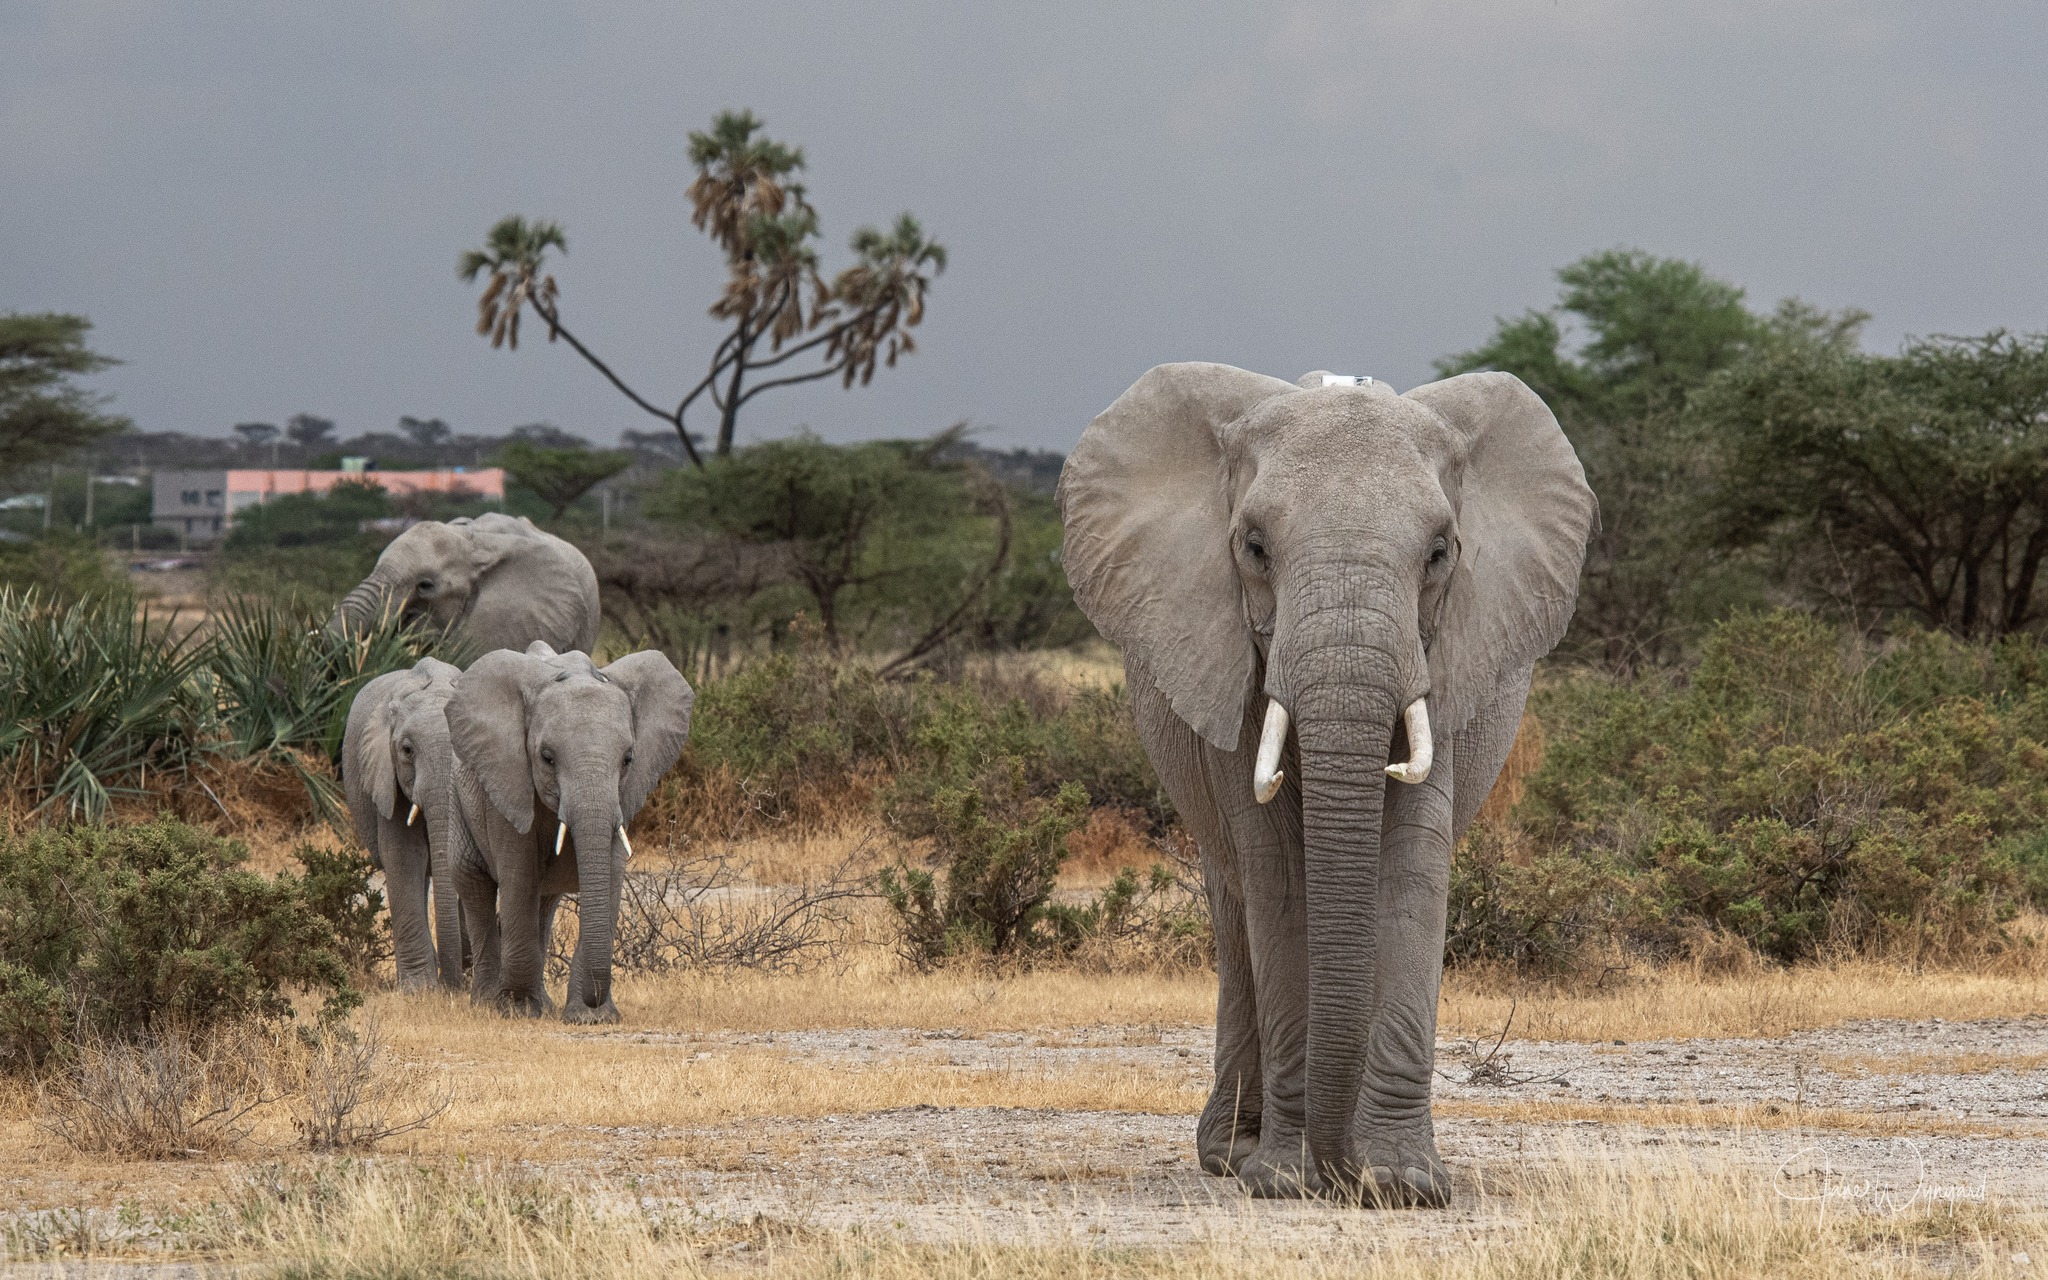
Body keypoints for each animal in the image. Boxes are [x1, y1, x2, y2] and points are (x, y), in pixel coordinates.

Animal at [445, 642, 693, 1023]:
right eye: (547, 758)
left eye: (628, 759)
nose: (594, 1002)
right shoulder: (507, 781)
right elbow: (518, 877)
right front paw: (517, 1010)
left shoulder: (621, 798)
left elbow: (611, 877)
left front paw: (593, 1017)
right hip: (458, 801)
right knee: (475, 885)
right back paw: (488, 1002)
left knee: (544, 903)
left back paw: (542, 1004)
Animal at [1057, 365, 1595, 1205]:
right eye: (1253, 547)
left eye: (1439, 552)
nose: (1343, 1174)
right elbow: (1278, 877)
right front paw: (1283, 1179)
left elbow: (1410, 866)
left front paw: (1402, 1184)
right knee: (1237, 907)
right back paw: (1232, 1155)